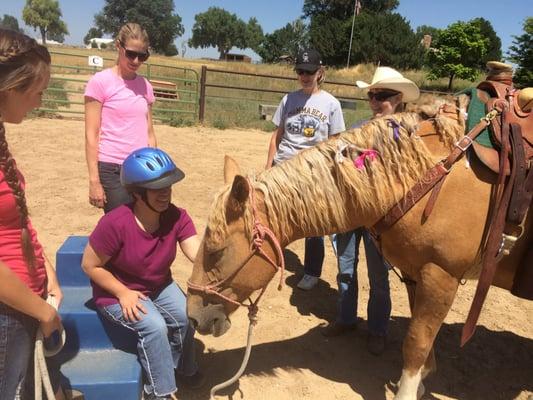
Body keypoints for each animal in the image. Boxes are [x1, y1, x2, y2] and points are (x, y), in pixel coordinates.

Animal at [186, 95, 528, 398]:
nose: (193, 317)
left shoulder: (441, 276)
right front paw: (421, 383)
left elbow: (415, 343)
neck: (421, 174)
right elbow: (422, 342)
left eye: (216, 250)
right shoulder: (416, 274)